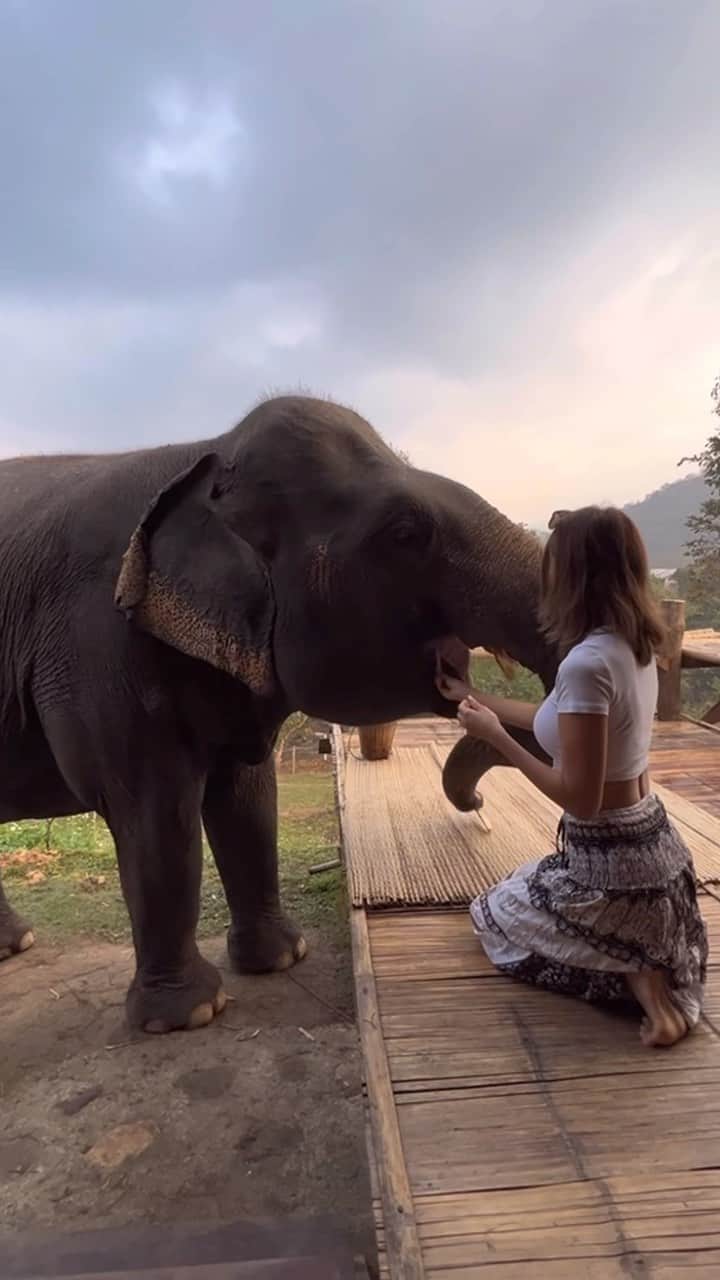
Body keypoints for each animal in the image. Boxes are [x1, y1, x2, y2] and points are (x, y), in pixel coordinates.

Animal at [0, 395, 557, 1032]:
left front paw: (283, 958)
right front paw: (190, 1015)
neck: (204, 454)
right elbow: (152, 809)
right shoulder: (100, 647)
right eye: (405, 533)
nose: (478, 804)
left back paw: (16, 945)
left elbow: (247, 795)